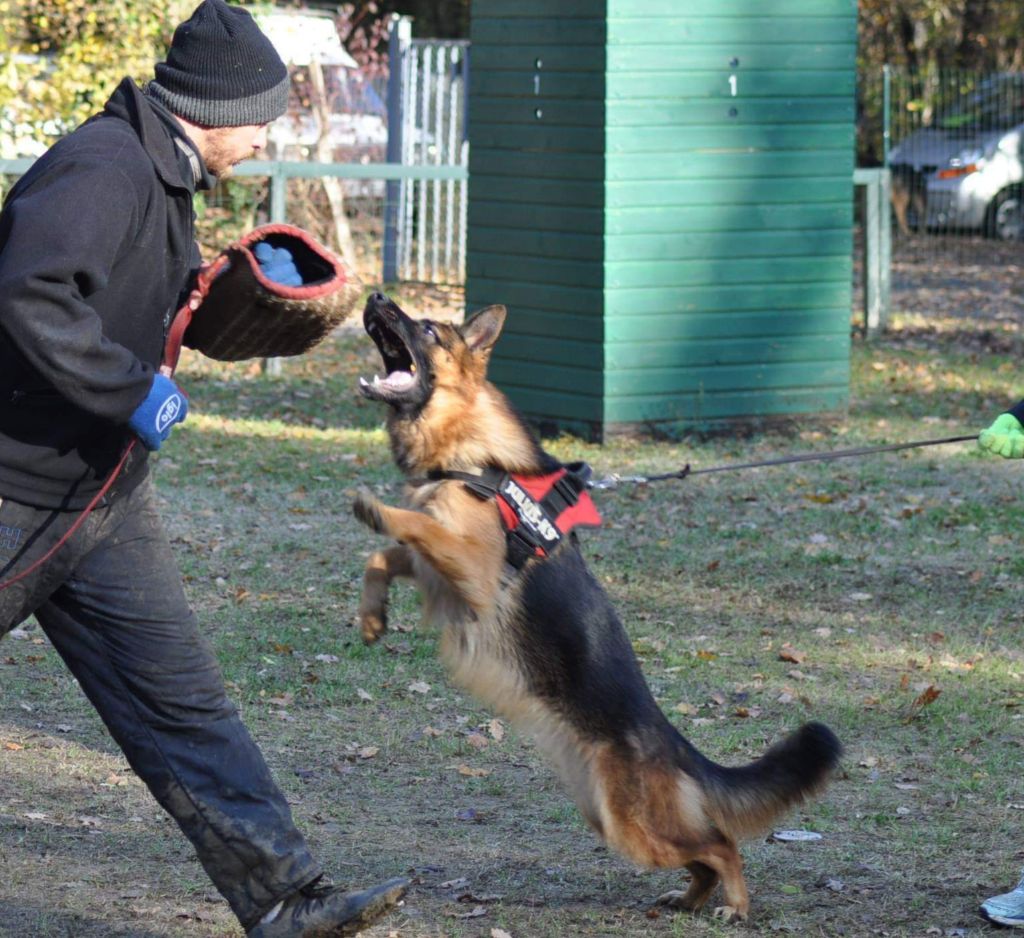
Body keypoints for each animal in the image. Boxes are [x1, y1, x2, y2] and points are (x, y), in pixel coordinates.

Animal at [352, 294, 839, 921]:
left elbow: (409, 524)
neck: (470, 453)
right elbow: (384, 555)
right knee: (703, 854)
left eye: (430, 329)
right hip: (608, 816)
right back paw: (688, 899)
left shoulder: (471, 570)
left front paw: (374, 508)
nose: (376, 298)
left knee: (722, 844)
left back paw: (733, 905)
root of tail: (671, 741)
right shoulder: (442, 571)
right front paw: (372, 617)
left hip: (632, 825)